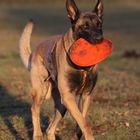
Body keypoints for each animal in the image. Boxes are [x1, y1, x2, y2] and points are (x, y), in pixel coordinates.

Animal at [19, 0, 103, 140]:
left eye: (99, 24)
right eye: (85, 26)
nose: (99, 39)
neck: (82, 68)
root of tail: (35, 52)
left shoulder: (85, 96)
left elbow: (81, 122)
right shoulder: (69, 97)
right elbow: (85, 124)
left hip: (61, 106)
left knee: (50, 130)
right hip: (41, 92)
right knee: (34, 110)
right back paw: (37, 134)